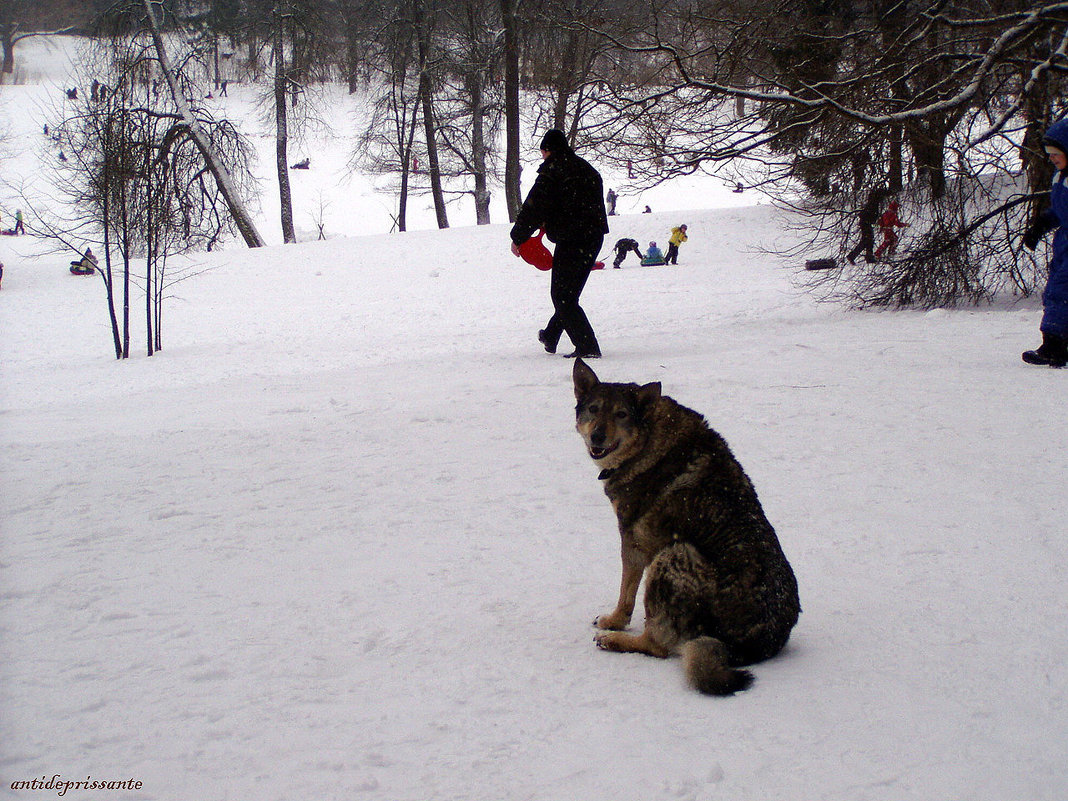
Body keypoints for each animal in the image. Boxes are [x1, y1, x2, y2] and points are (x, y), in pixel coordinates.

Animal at [572, 360, 798, 692]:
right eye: (593, 409)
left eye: (621, 414)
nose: (597, 436)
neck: (649, 441)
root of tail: (751, 646)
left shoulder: (633, 540)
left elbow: (626, 594)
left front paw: (614, 622)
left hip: (671, 556)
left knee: (658, 646)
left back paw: (613, 641)